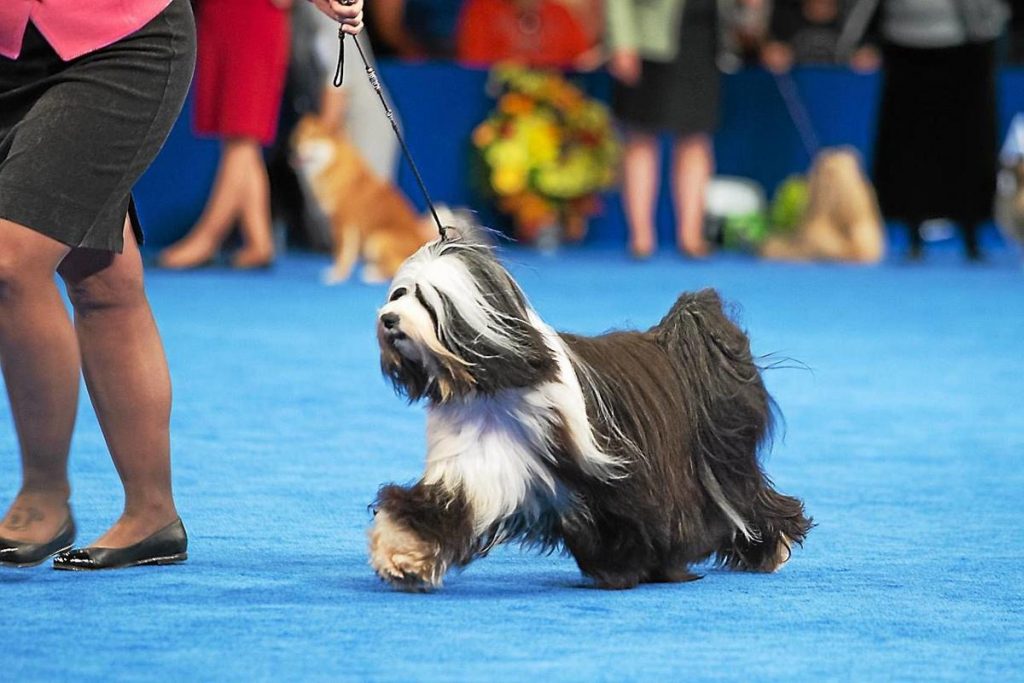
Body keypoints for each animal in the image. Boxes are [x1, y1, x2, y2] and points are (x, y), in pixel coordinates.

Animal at [372, 235, 811, 589]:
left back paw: (771, 548)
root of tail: (674, 338)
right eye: (398, 294)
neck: (492, 384)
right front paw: (401, 555)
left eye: (426, 300)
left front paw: (633, 569)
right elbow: (435, 509)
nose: (388, 319)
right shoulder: (475, 466)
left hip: (719, 462)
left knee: (745, 498)